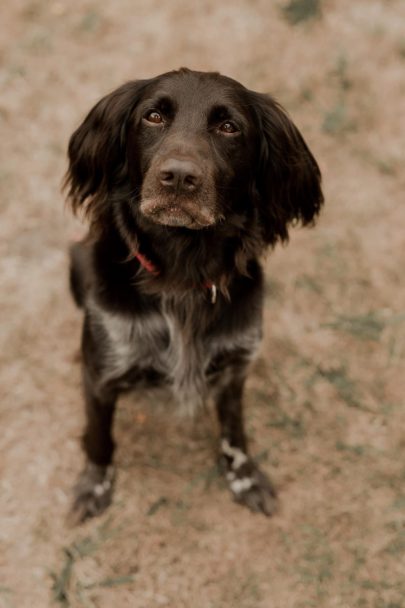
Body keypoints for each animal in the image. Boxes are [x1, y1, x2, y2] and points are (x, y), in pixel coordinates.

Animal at [64, 66, 322, 524]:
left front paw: (245, 479)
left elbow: (235, 432)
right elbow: (99, 437)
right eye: (153, 116)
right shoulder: (102, 374)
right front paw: (94, 486)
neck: (182, 274)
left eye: (229, 126)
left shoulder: (236, 365)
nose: (180, 177)